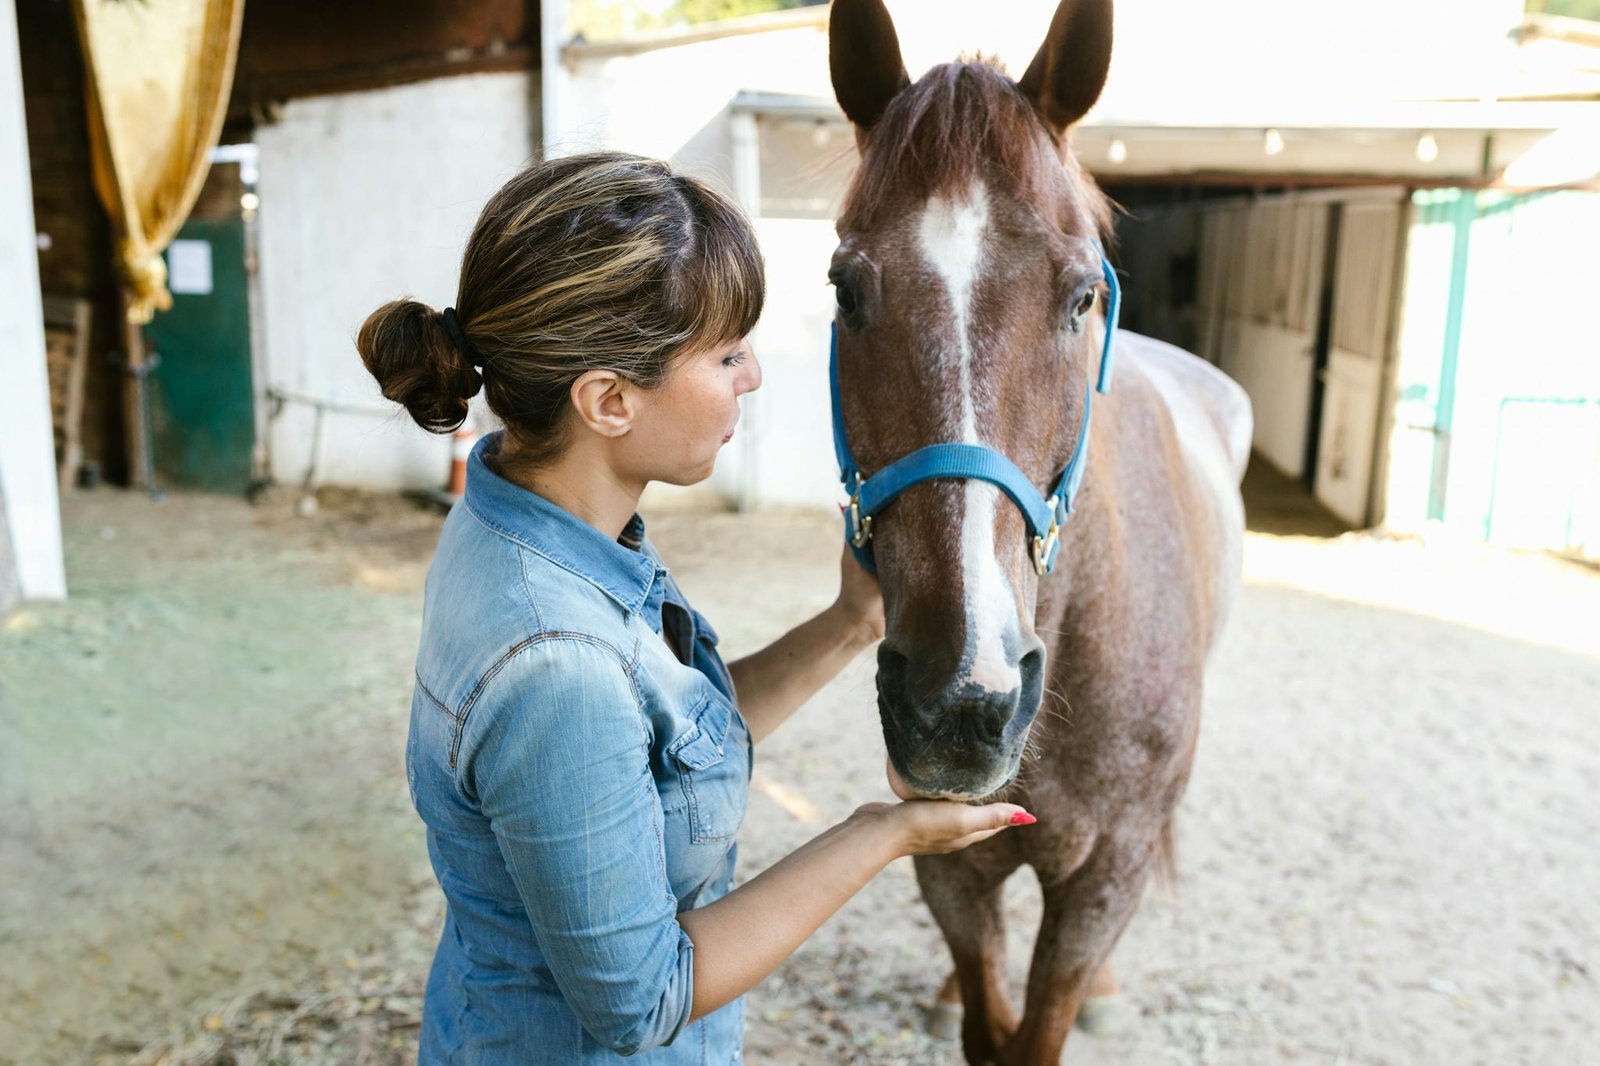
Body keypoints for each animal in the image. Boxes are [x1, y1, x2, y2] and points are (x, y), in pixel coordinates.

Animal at [824, 1, 1252, 1062]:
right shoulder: (948, 867)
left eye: (1081, 294)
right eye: (846, 289)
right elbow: (987, 1016)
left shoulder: (1105, 877)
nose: (960, 699)